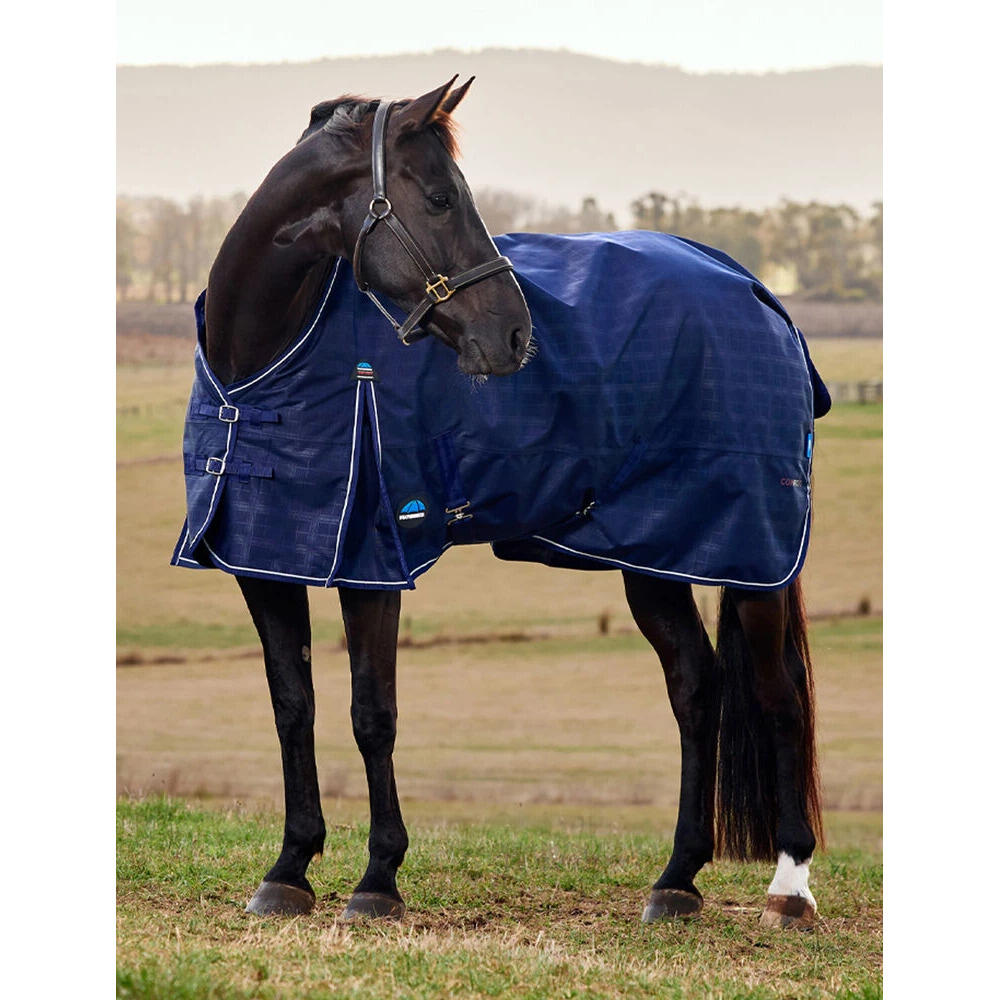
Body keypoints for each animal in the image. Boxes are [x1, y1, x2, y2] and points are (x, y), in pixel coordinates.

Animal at [173, 78, 825, 930]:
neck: (262, 369)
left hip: (752, 554)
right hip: (655, 555)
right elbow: (294, 706)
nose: (515, 336)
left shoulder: (374, 564)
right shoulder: (265, 560)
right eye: (441, 198)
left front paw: (377, 880)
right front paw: (289, 870)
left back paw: (789, 888)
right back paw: (676, 880)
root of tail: (761, 299)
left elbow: (371, 714)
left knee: (779, 696)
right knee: (696, 687)